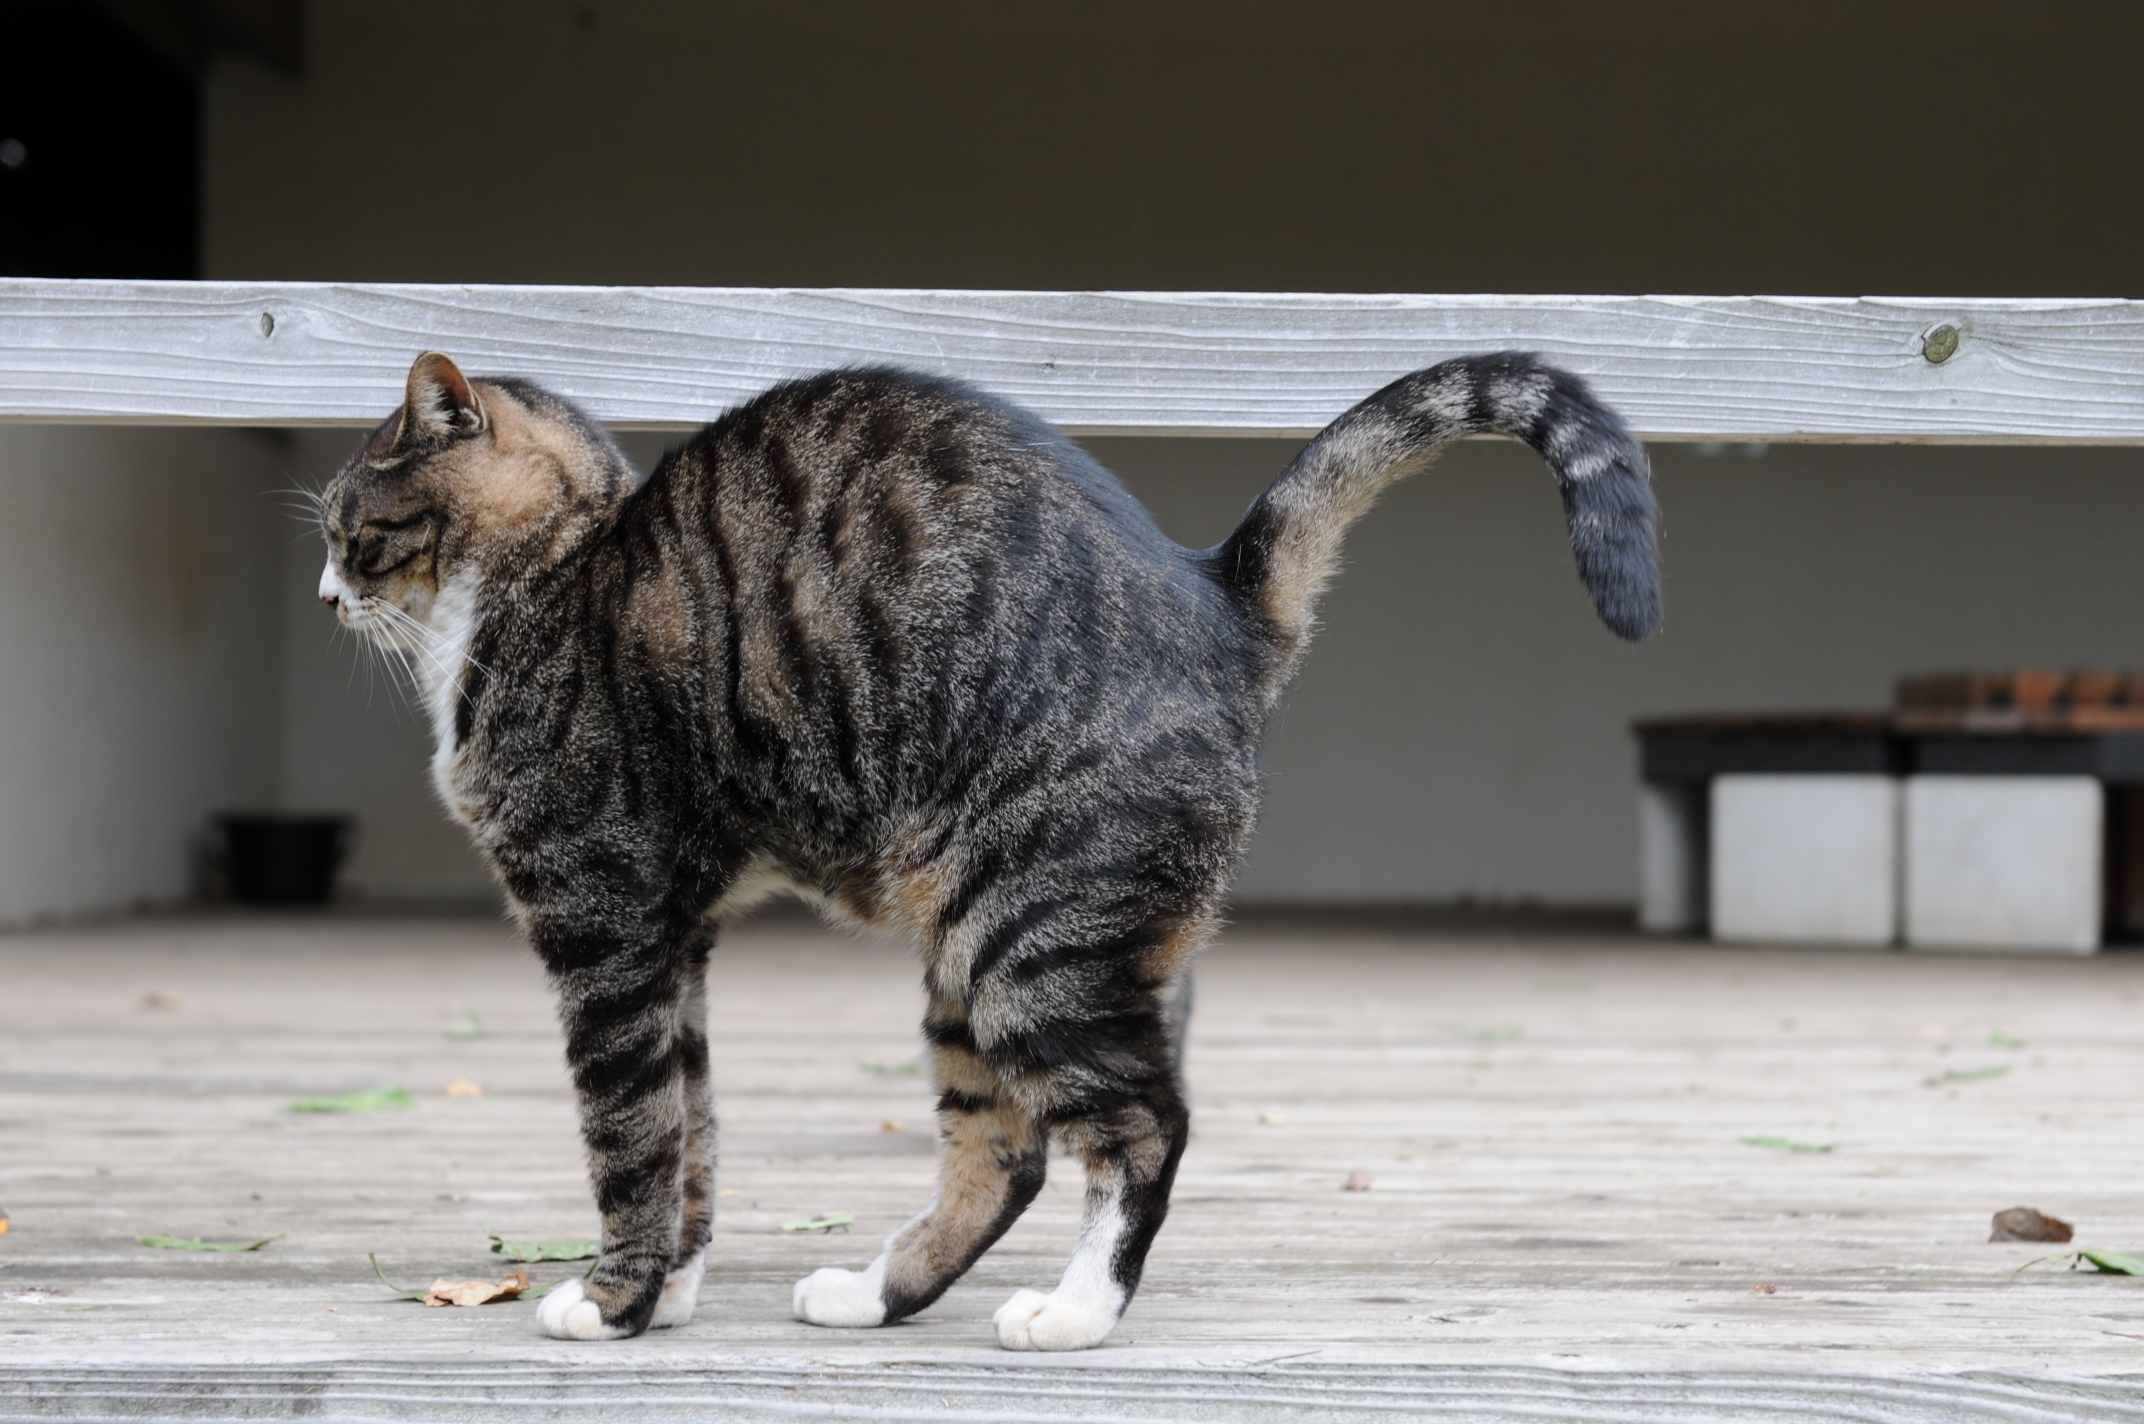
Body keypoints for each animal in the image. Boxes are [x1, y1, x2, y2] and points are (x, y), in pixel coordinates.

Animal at [317, 347, 1655, 1346]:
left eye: (349, 527)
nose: (325, 598)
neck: (557, 568)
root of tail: (1216, 599)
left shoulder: (603, 927)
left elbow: (630, 1131)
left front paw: (613, 1301)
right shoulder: (674, 940)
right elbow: (692, 1126)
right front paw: (677, 1289)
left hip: (1026, 938)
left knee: (1141, 1126)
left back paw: (1073, 1310)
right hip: (972, 945)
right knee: (1005, 1147)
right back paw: (873, 1292)